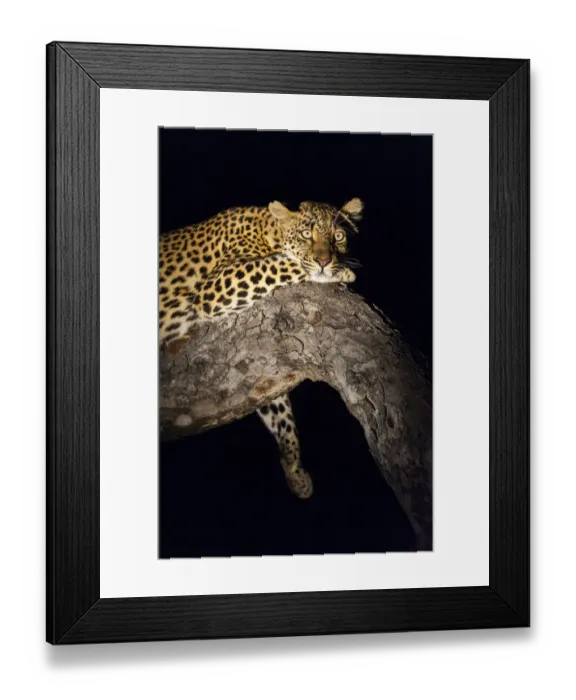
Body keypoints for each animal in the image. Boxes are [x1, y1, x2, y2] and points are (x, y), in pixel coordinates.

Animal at [159, 197, 364, 499]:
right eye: (307, 234)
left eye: (338, 236)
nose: (326, 261)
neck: (268, 232)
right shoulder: (216, 286)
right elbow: (280, 265)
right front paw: (341, 271)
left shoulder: (261, 369)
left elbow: (281, 413)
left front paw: (296, 472)